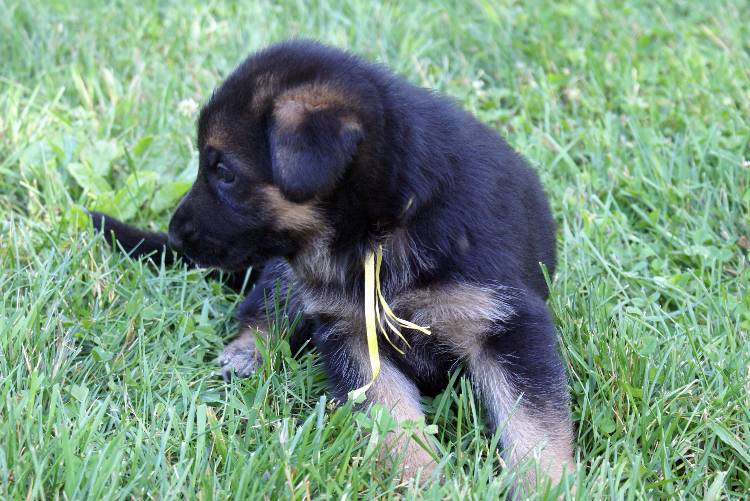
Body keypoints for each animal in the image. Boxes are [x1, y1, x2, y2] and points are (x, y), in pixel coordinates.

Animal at [92, 40, 576, 488]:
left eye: (224, 172)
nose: (175, 233)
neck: (383, 226)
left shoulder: (506, 322)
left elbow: (536, 427)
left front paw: (546, 485)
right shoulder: (352, 333)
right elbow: (393, 420)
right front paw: (420, 482)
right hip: (284, 274)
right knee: (260, 307)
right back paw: (248, 352)